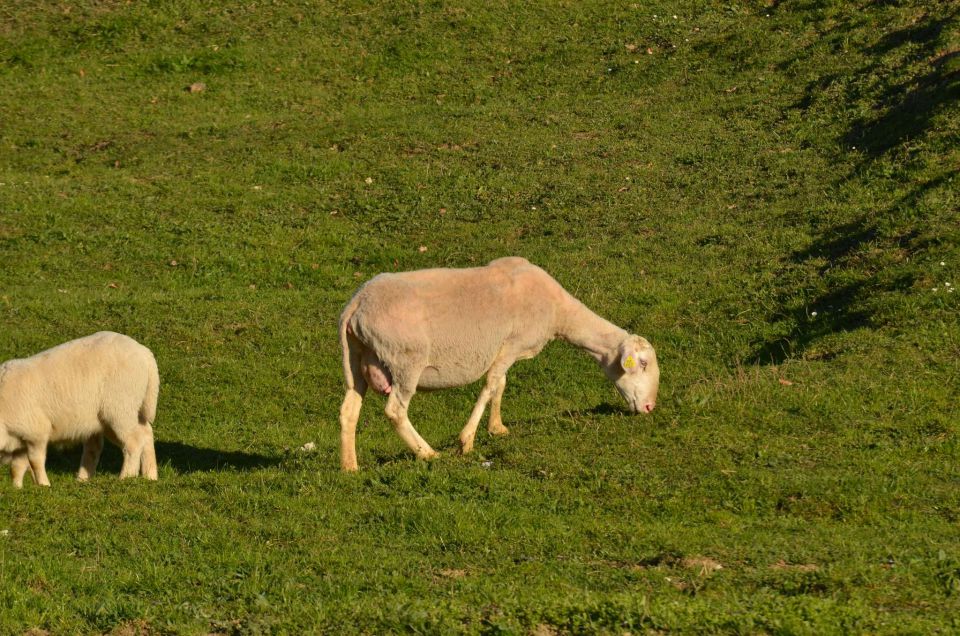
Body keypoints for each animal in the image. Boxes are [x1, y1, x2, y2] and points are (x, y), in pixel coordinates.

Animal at [0, 332, 159, 486]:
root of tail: (145, 354)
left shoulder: (36, 431)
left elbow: (35, 461)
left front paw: (43, 485)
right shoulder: (21, 439)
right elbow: (17, 466)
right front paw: (18, 487)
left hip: (119, 409)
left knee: (134, 441)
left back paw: (126, 477)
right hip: (119, 413)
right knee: (145, 433)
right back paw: (149, 476)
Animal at [338, 258, 660, 472]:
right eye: (642, 363)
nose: (649, 408)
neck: (558, 312)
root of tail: (357, 304)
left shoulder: (505, 351)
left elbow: (500, 385)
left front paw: (497, 427)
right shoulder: (511, 345)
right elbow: (491, 385)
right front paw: (466, 441)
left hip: (355, 359)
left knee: (349, 410)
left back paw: (350, 467)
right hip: (406, 360)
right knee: (395, 411)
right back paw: (429, 454)